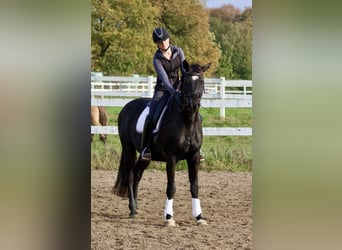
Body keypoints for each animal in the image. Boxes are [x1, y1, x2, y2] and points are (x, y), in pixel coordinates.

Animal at [113, 61, 210, 226]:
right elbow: (171, 187)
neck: (187, 121)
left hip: (146, 156)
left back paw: (136, 208)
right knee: (130, 174)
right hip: (128, 148)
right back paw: (132, 209)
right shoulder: (171, 158)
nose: (193, 104)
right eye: (186, 81)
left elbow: (195, 186)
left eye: (201, 81)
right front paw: (169, 217)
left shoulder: (194, 157)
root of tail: (127, 106)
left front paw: (199, 217)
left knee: (137, 173)